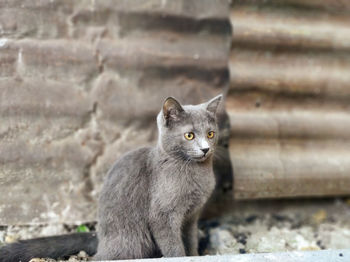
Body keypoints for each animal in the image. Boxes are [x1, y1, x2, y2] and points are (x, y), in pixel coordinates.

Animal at [0, 93, 221, 260]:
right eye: (189, 135)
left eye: (210, 134)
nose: (205, 149)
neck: (197, 172)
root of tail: (100, 238)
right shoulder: (162, 214)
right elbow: (173, 246)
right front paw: (181, 256)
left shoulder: (192, 215)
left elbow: (190, 239)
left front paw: (194, 255)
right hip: (134, 239)